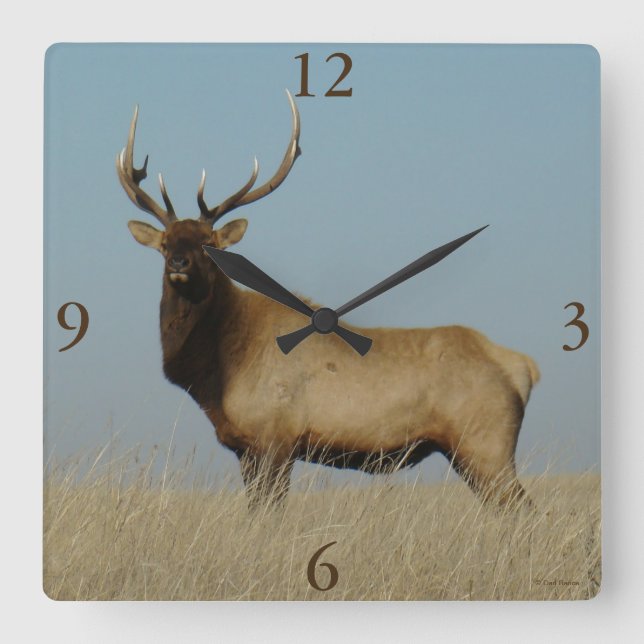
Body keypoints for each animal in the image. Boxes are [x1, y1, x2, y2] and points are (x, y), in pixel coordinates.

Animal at [117, 91, 540, 510]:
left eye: (208, 244)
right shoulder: (245, 448)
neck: (217, 374)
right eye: (166, 243)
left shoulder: (274, 439)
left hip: (486, 444)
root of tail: (524, 368)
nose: (179, 262)